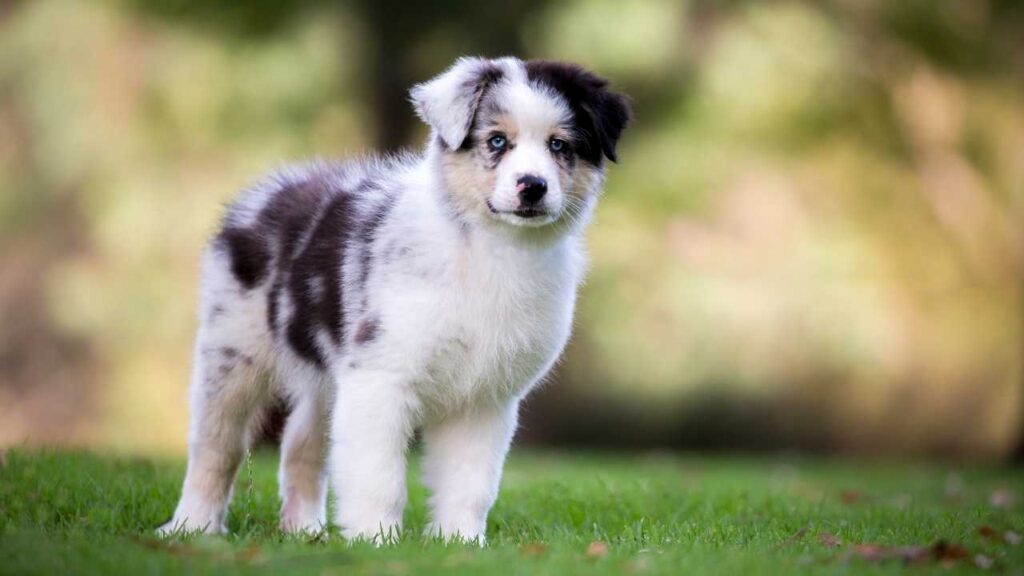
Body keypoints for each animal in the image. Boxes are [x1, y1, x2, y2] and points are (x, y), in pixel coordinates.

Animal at [158, 56, 626, 541]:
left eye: (559, 145)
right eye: (497, 140)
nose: (532, 186)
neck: (490, 250)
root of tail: (268, 191)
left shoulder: (485, 397)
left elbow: (470, 481)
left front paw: (460, 541)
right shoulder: (380, 375)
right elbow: (377, 473)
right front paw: (374, 539)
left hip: (322, 377)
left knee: (301, 444)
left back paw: (304, 530)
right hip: (232, 352)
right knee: (216, 447)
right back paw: (192, 526)